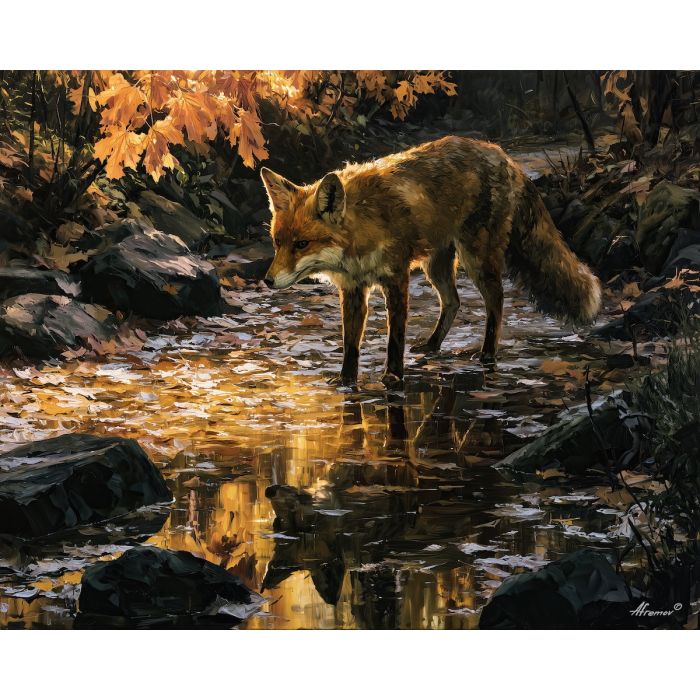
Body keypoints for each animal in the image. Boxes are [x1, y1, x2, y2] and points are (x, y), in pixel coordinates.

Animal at [260, 135, 601, 388]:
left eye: (302, 244)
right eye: (277, 243)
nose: (267, 281)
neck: (362, 229)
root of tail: (501, 154)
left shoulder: (395, 279)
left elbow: (395, 338)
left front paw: (393, 376)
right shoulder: (354, 289)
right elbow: (350, 343)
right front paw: (346, 380)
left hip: (476, 259)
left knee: (496, 302)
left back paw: (487, 354)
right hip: (435, 265)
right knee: (453, 302)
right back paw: (434, 345)